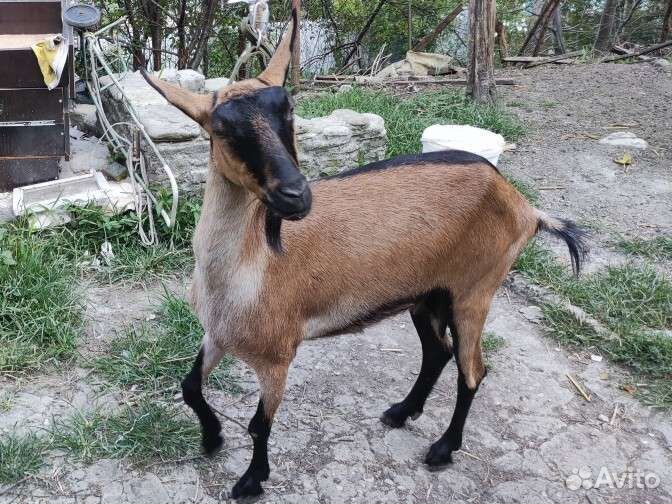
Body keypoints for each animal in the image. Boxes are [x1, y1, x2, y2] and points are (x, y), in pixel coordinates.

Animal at [140, 3, 588, 498]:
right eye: (222, 128)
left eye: (289, 112)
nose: (297, 195)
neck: (245, 270)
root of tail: (524, 205)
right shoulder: (217, 335)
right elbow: (189, 386)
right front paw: (212, 438)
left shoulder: (278, 354)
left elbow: (259, 425)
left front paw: (251, 481)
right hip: (427, 293)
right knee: (438, 353)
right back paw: (400, 412)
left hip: (475, 291)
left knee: (472, 370)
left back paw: (442, 449)